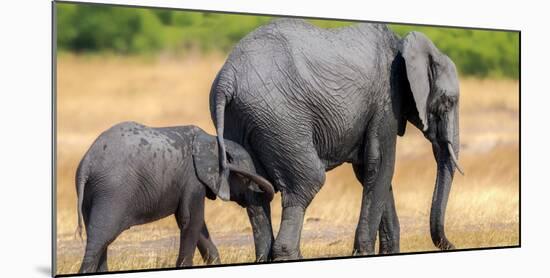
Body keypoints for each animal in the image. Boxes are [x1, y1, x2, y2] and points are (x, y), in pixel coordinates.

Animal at [76, 121, 276, 274]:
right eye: (245, 178)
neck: (213, 140)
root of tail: (87, 164)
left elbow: (193, 223)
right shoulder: (193, 179)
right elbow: (192, 220)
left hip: (92, 194)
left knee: (100, 240)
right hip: (112, 192)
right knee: (100, 237)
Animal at [209, 18, 464, 260]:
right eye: (448, 102)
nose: (451, 244)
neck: (403, 44)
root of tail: (227, 79)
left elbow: (368, 170)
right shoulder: (386, 97)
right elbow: (380, 164)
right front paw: (364, 254)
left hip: (241, 120)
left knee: (255, 193)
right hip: (279, 118)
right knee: (307, 181)